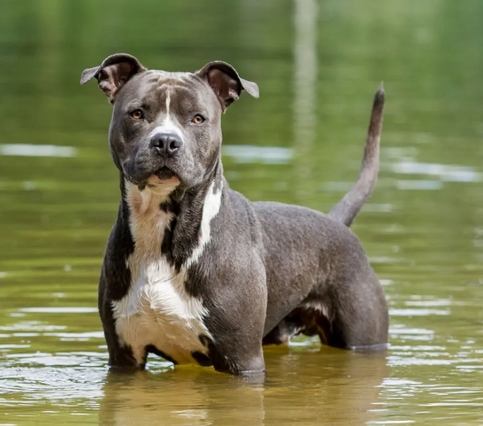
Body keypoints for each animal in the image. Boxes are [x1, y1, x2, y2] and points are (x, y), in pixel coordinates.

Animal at [80, 53, 390, 376]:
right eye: (137, 113)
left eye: (198, 118)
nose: (166, 141)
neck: (162, 230)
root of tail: (335, 222)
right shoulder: (124, 357)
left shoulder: (242, 358)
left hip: (363, 337)